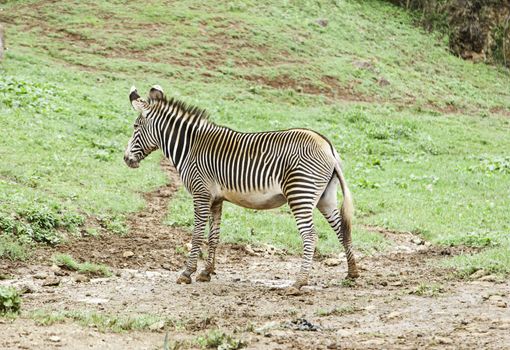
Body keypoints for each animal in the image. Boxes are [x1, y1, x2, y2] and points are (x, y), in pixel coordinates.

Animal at [123, 85, 358, 292]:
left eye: (135, 127)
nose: (126, 160)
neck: (190, 147)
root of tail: (327, 145)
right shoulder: (216, 199)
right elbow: (214, 236)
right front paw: (206, 273)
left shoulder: (201, 194)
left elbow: (197, 234)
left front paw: (186, 273)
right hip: (325, 197)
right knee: (343, 230)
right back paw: (352, 274)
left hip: (300, 194)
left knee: (310, 235)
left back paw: (299, 282)